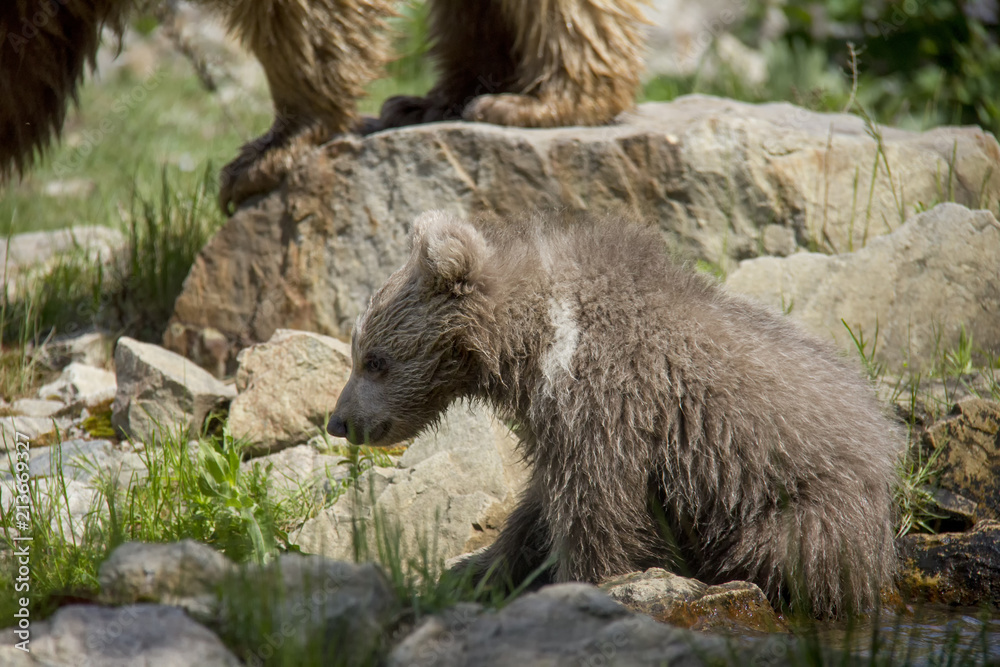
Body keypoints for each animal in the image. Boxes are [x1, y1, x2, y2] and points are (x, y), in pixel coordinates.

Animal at [327, 209, 903, 617]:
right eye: (360, 352)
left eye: (373, 360)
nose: (339, 422)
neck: (534, 342)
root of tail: (883, 438)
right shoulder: (558, 420)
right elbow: (537, 509)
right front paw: (478, 567)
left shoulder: (608, 401)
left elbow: (596, 508)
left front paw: (590, 583)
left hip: (798, 503)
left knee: (790, 557)